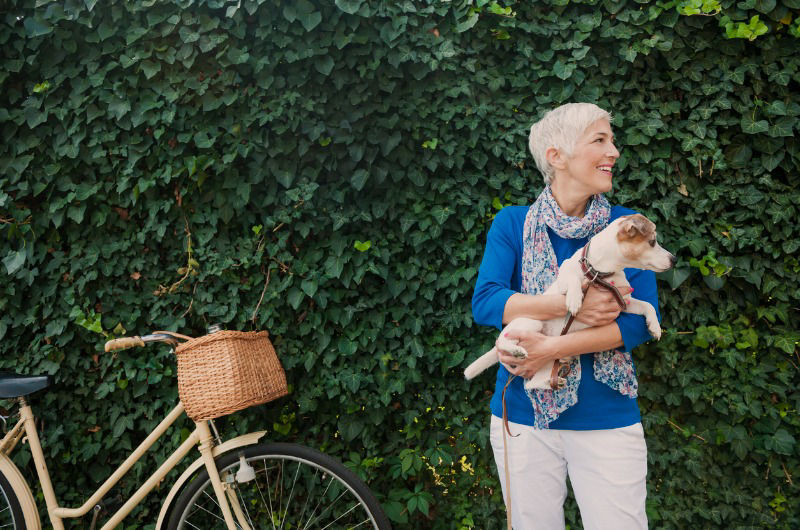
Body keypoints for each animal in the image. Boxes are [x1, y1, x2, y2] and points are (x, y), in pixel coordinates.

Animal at [462, 212, 676, 390]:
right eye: (652, 241)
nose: (674, 259)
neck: (599, 272)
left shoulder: (623, 302)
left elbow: (648, 305)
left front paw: (655, 327)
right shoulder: (566, 275)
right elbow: (572, 278)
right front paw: (574, 300)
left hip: (548, 359)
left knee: (531, 384)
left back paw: (552, 381)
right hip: (531, 323)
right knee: (501, 341)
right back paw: (515, 349)